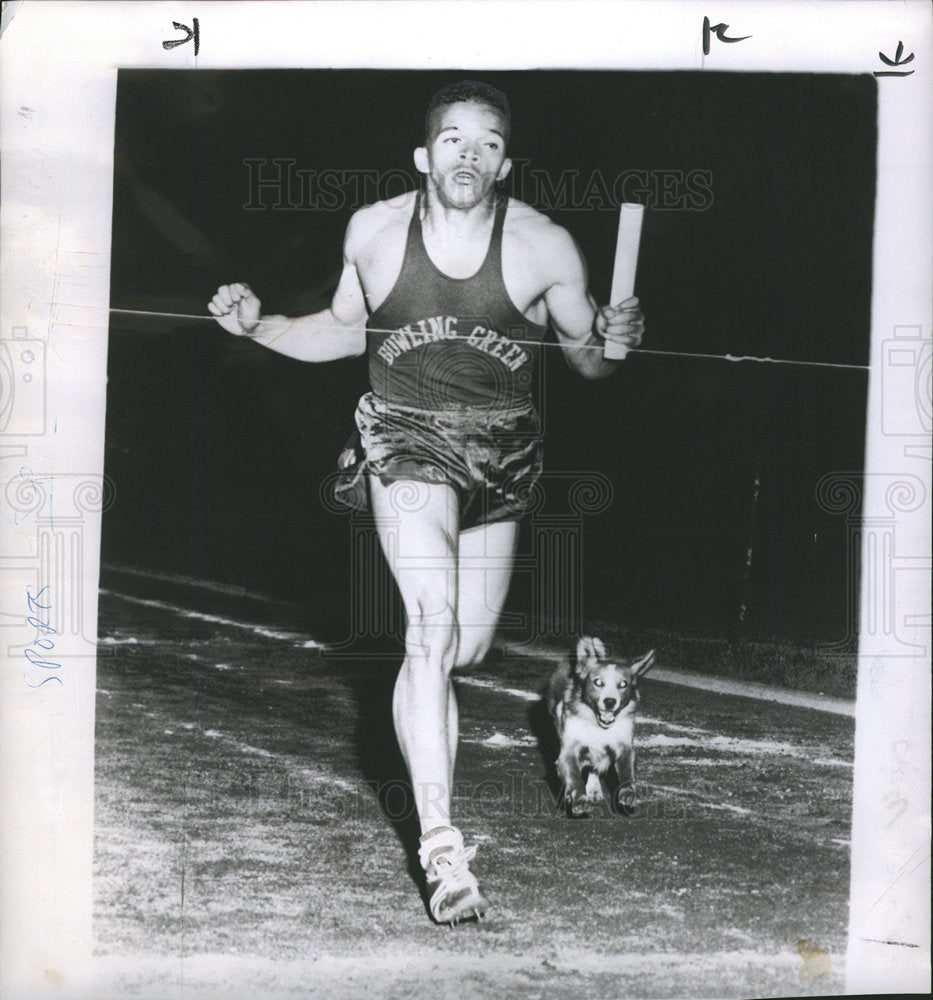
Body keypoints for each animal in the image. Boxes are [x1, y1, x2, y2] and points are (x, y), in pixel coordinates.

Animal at [548, 636, 656, 816]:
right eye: (598, 682)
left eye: (623, 684)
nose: (610, 702)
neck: (597, 725)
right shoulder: (568, 751)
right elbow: (574, 777)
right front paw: (579, 800)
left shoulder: (624, 747)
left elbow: (627, 772)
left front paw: (628, 792)